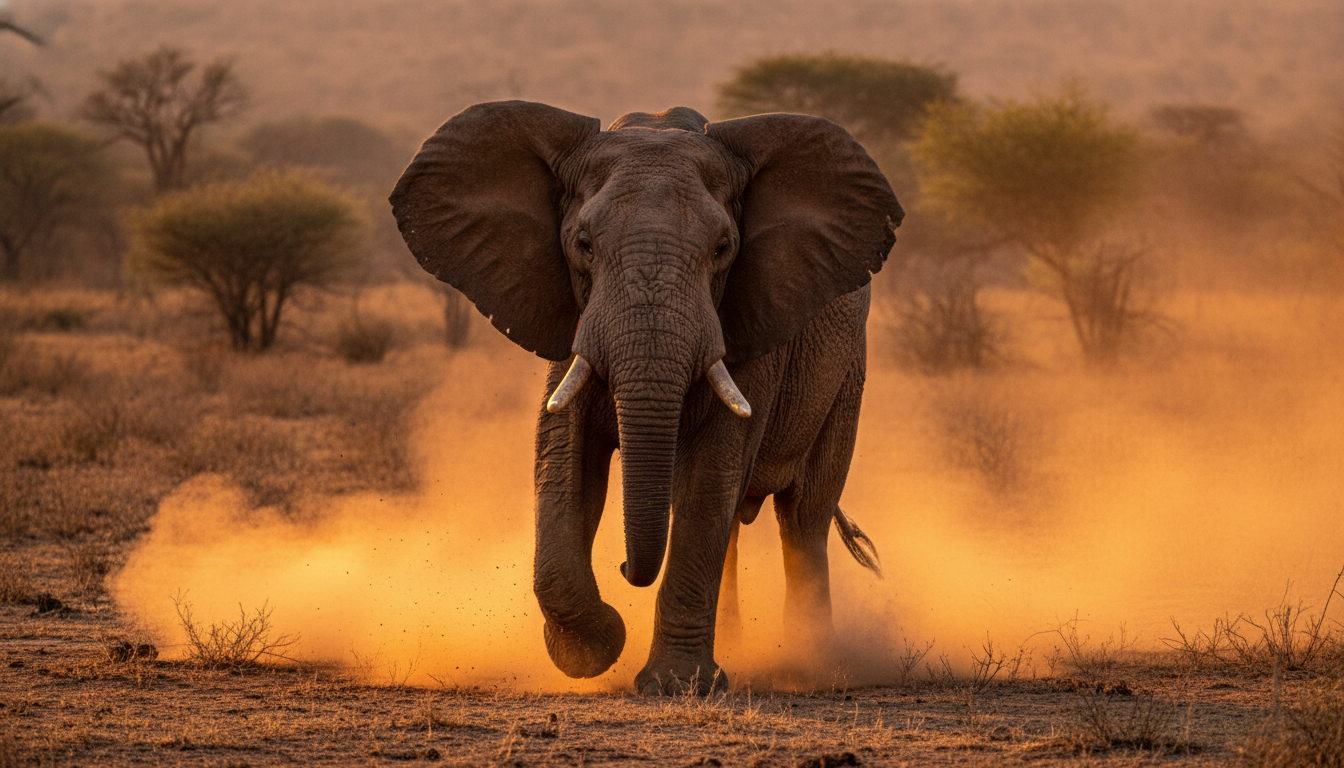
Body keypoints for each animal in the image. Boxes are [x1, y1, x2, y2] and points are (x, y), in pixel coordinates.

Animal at [390, 100, 903, 694]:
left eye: (723, 249)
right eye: (583, 245)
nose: (623, 570)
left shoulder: (753, 320)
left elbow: (712, 472)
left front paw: (677, 686)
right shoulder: (575, 317)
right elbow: (563, 457)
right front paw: (594, 650)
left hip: (847, 375)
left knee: (802, 516)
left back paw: (812, 665)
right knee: (735, 522)